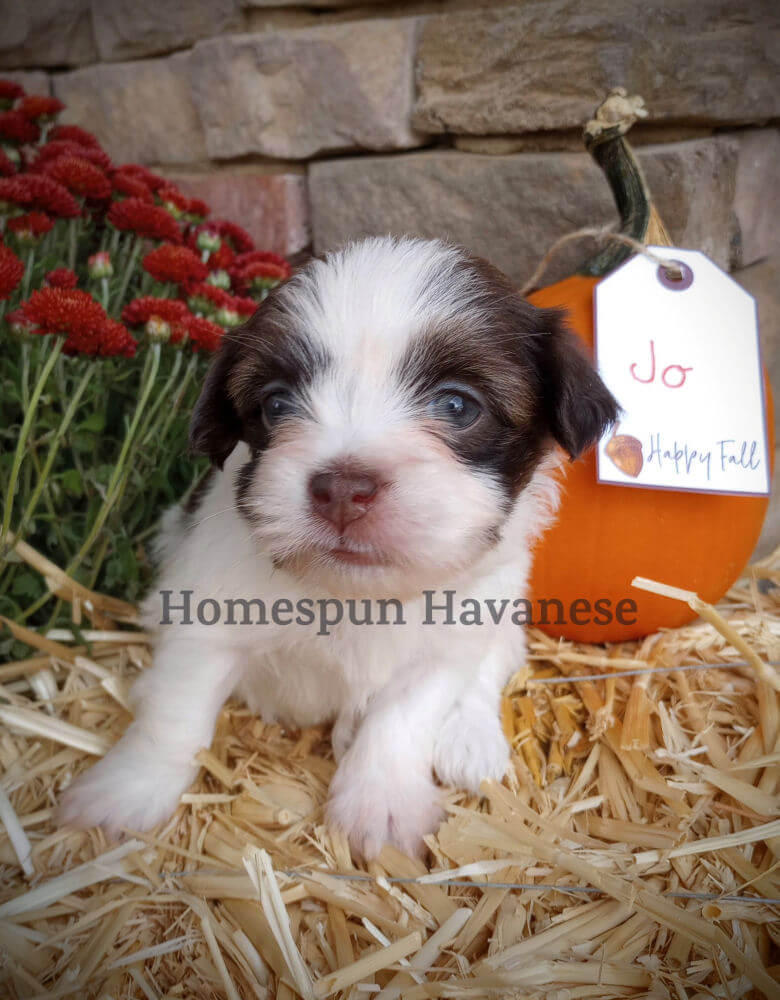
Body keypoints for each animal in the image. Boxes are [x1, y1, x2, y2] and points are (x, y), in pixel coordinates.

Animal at [59, 236, 617, 857]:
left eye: (457, 406)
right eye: (276, 405)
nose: (344, 490)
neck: (356, 596)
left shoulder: (450, 641)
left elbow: (403, 719)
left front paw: (381, 803)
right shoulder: (204, 617)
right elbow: (176, 712)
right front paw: (127, 791)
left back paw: (469, 739)